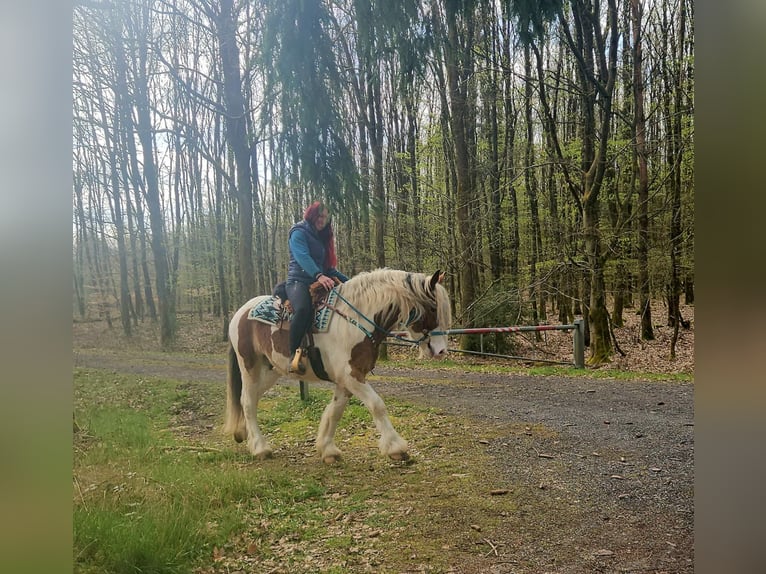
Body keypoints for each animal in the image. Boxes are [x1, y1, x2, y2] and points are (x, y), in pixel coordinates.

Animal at [223, 268, 451, 463]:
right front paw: (396, 447)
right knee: (247, 401)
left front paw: (327, 449)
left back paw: (243, 433)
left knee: (250, 398)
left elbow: (335, 411)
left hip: (271, 371)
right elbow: (377, 405)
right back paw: (260, 448)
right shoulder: (352, 376)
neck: (355, 320)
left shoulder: (346, 380)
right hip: (249, 367)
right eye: (433, 308)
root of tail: (240, 312)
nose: (441, 351)